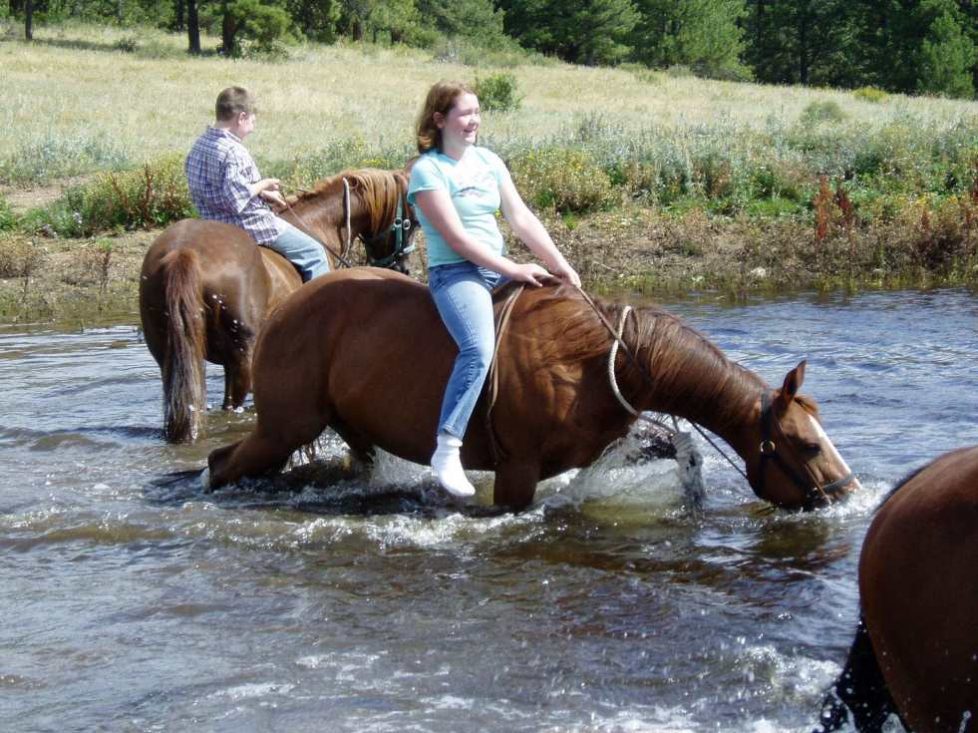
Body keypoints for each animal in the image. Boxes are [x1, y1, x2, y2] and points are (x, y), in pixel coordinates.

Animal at [204, 266, 856, 512]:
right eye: (808, 445)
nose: (847, 493)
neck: (594, 364)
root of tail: (285, 307)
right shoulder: (517, 472)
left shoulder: (599, 446)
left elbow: (682, 449)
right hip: (283, 427)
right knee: (219, 464)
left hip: (345, 431)